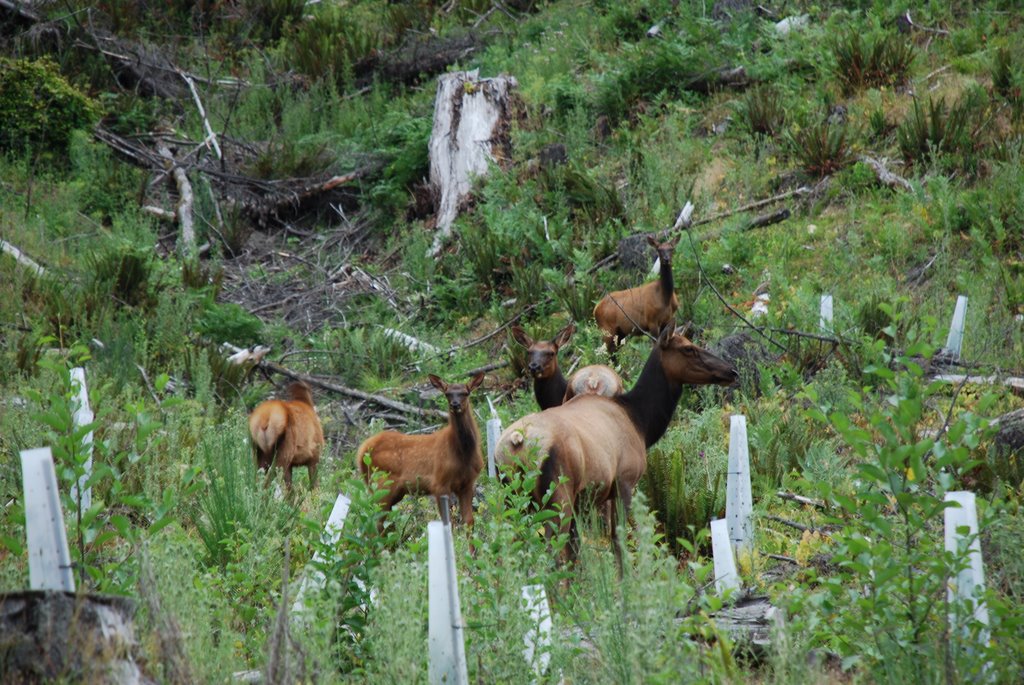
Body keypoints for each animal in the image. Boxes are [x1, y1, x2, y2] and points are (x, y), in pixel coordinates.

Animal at [358, 370, 485, 528]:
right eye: (447, 393)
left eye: (465, 393)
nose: (455, 404)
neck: (463, 453)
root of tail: (361, 451)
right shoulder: (439, 482)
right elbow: (447, 523)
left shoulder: (467, 484)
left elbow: (469, 521)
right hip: (381, 484)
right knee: (375, 522)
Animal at [495, 325, 737, 565]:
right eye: (688, 348)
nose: (731, 371)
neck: (641, 422)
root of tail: (518, 441)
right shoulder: (625, 481)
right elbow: (619, 542)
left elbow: (578, 550)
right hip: (557, 494)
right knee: (550, 553)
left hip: (512, 498)